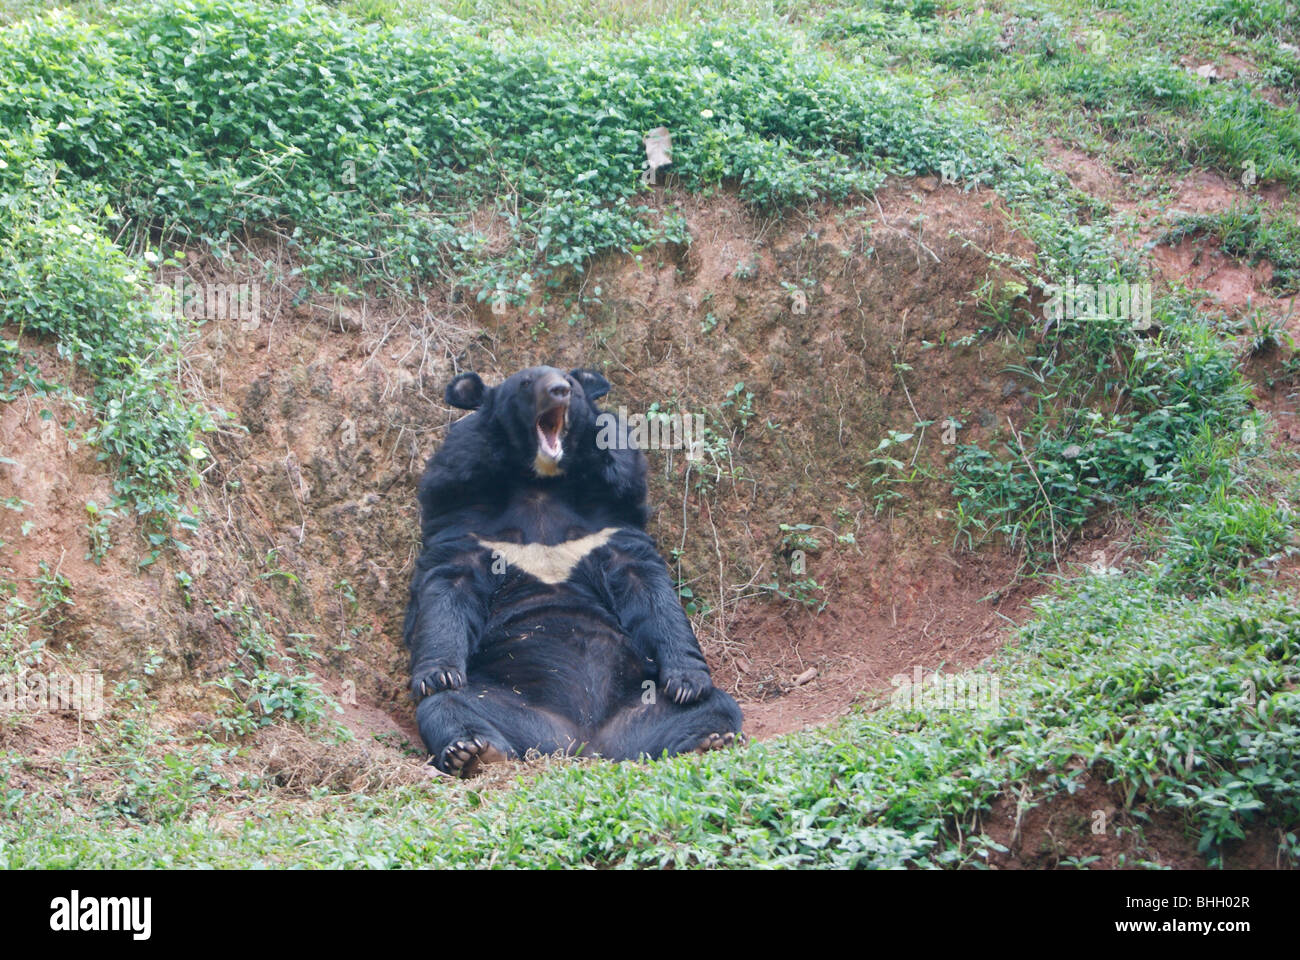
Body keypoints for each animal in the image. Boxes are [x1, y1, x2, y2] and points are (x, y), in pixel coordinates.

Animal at [405, 361, 743, 775]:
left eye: (569, 382)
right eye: (526, 383)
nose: (559, 391)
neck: (540, 482)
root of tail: (585, 743)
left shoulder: (613, 514)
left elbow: (649, 586)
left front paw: (688, 681)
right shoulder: (461, 511)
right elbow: (448, 586)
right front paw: (437, 675)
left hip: (642, 699)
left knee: (717, 706)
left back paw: (708, 740)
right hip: (507, 703)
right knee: (446, 707)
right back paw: (474, 751)